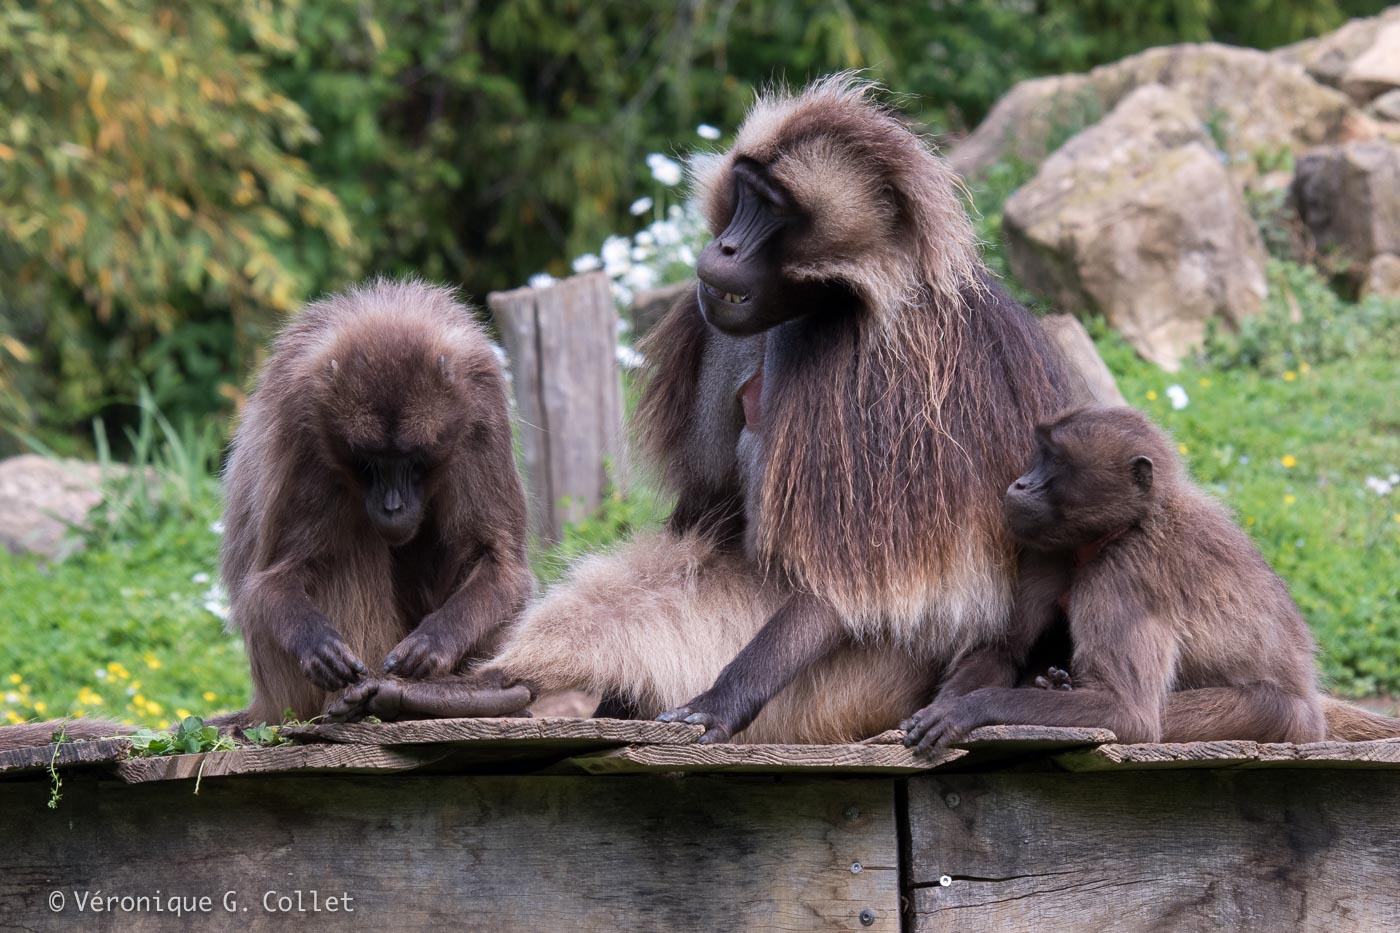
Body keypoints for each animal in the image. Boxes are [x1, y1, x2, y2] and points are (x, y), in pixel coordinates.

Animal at [328, 75, 1082, 744]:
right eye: (746, 193)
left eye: (775, 210)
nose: (723, 248)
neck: (833, 303)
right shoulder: (723, 329)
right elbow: (705, 510)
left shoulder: (880, 378)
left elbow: (846, 582)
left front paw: (725, 697)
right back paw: (471, 691)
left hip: (863, 685)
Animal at [901, 406, 1400, 751]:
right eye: (1039, 455)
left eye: (1055, 461)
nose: (1020, 484)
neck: (1125, 527)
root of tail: (1313, 707)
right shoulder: (1050, 549)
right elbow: (1006, 647)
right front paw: (943, 705)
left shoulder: (1123, 577)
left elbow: (1131, 714)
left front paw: (969, 708)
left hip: (1291, 722)